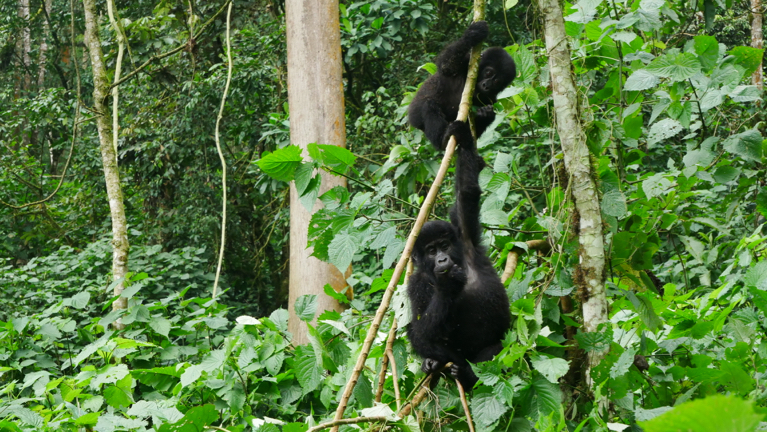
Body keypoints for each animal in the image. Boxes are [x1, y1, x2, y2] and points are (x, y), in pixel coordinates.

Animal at [408, 21, 516, 151]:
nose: (486, 85)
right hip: (416, 117)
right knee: (428, 105)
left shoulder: (491, 99)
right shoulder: (464, 63)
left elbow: (473, 132)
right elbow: (446, 66)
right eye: (488, 73)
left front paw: (486, 115)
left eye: (497, 82)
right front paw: (473, 34)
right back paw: (442, 141)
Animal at [408, 120, 510, 390]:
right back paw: (438, 365)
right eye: (431, 251)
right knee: (417, 334)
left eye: (444, 245)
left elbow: (467, 192)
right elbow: (421, 329)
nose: (442, 259)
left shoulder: (464, 236)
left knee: (496, 351)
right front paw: (446, 285)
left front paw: (463, 138)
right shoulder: (415, 282)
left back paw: (468, 375)